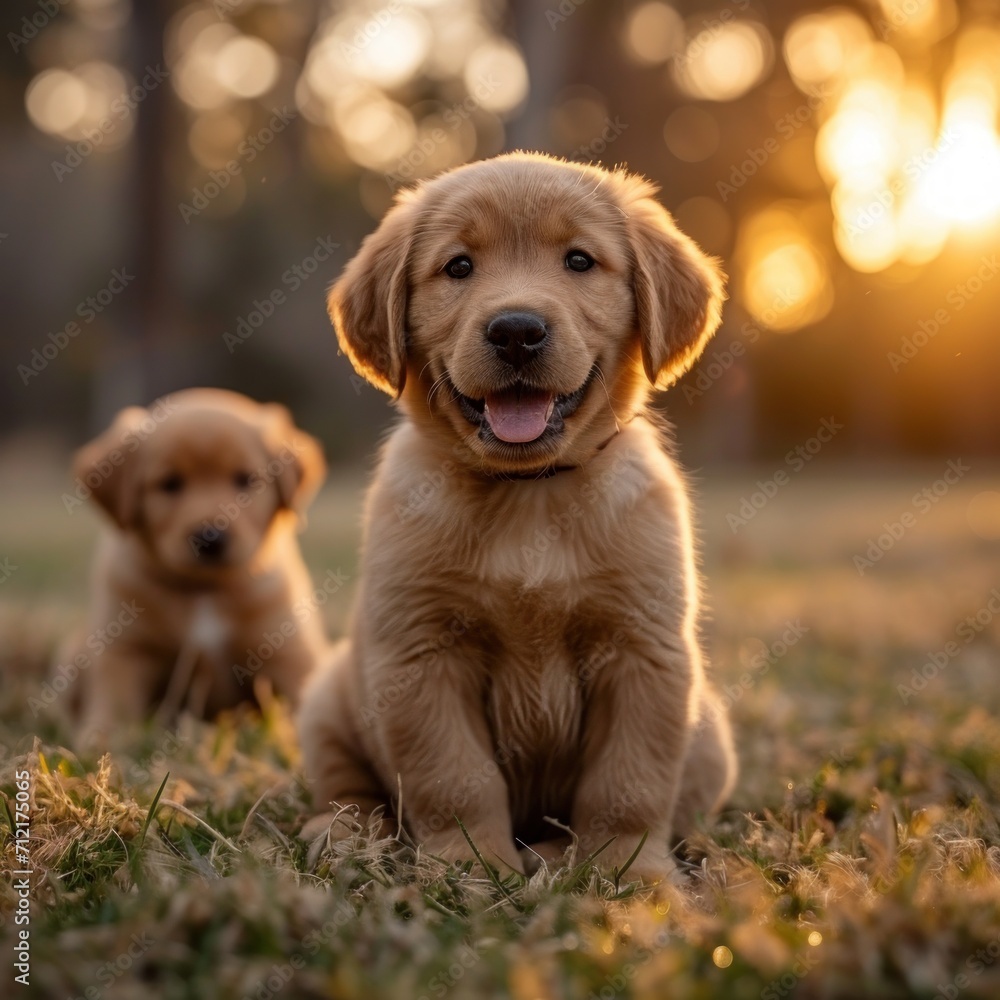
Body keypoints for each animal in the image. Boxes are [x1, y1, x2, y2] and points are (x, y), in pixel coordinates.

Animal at [61, 386, 328, 748]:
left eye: (245, 479)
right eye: (170, 483)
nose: (211, 537)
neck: (206, 590)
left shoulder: (290, 652)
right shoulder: (126, 650)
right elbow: (114, 703)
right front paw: (100, 741)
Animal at [296, 150, 736, 884]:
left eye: (580, 261)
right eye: (458, 267)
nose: (517, 330)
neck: (529, 493)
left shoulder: (643, 651)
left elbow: (629, 784)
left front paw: (630, 876)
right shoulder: (421, 655)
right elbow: (454, 777)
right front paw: (468, 868)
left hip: (711, 734)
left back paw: (559, 853)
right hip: (325, 698)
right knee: (351, 790)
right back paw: (345, 835)